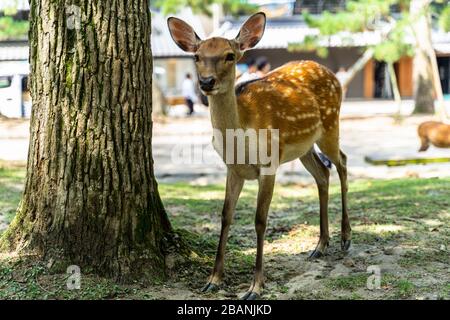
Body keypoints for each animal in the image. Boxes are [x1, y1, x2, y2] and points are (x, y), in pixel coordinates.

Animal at [169, 10, 352, 300]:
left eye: (229, 55)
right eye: (197, 56)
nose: (206, 82)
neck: (240, 136)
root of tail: (332, 74)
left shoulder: (268, 163)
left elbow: (260, 220)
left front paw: (255, 286)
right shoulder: (233, 168)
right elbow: (225, 216)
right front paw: (213, 279)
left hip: (330, 127)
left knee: (342, 162)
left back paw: (345, 237)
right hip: (304, 147)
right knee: (323, 173)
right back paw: (320, 245)